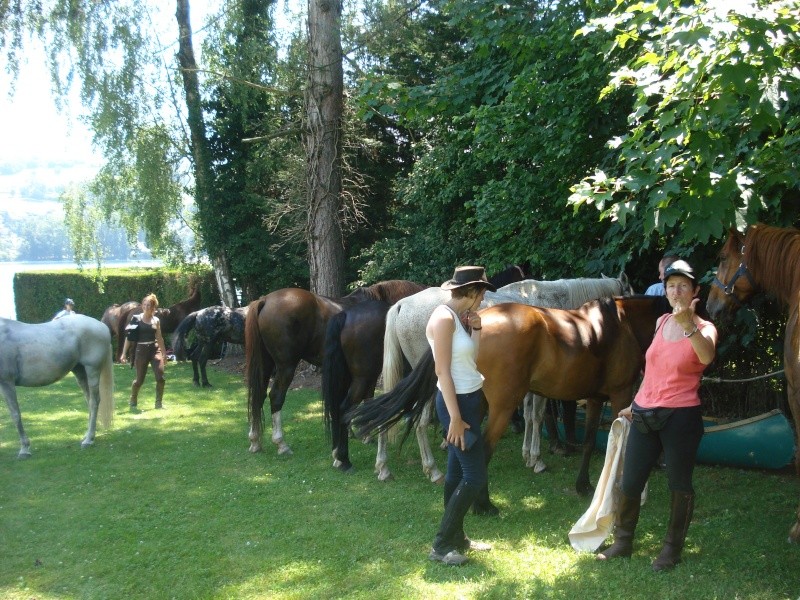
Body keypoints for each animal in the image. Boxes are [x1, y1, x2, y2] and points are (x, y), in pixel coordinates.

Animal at [0, 316, 115, 458]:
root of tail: (102, 326)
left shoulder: (7, 382)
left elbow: (15, 414)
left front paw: (24, 449)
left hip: (92, 369)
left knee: (94, 402)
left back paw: (88, 440)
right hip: (80, 371)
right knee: (89, 401)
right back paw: (88, 435)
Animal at [244, 280, 428, 454]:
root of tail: (265, 300)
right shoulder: (369, 373)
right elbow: (366, 397)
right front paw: (365, 434)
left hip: (266, 364)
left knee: (258, 394)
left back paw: (255, 441)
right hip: (286, 367)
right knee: (276, 396)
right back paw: (281, 443)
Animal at [350, 292, 668, 512]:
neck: (618, 327)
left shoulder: (594, 399)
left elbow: (589, 441)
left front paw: (583, 485)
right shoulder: (621, 394)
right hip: (500, 407)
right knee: (478, 445)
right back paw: (481, 503)